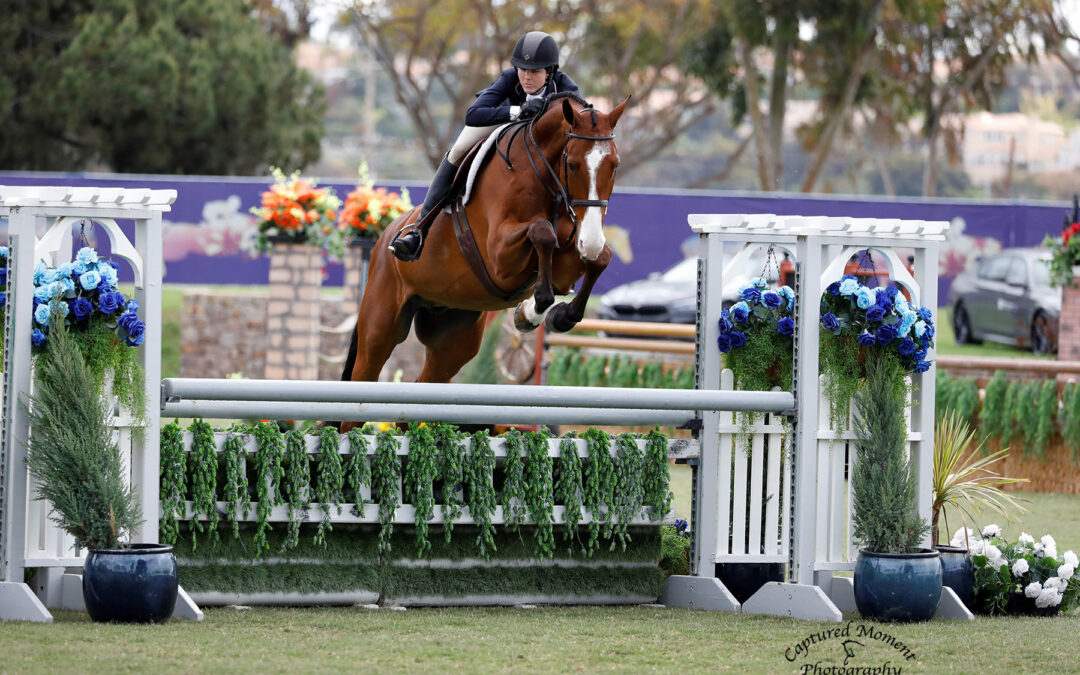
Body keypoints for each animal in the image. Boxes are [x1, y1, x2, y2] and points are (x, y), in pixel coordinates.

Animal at [334, 92, 626, 425]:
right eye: (573, 165)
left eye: (614, 165)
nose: (590, 239)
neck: (545, 175)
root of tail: (384, 237)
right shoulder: (500, 256)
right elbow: (542, 233)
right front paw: (532, 311)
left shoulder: (569, 255)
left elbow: (601, 258)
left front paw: (558, 314)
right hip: (380, 328)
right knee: (363, 382)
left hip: (453, 338)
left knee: (425, 383)